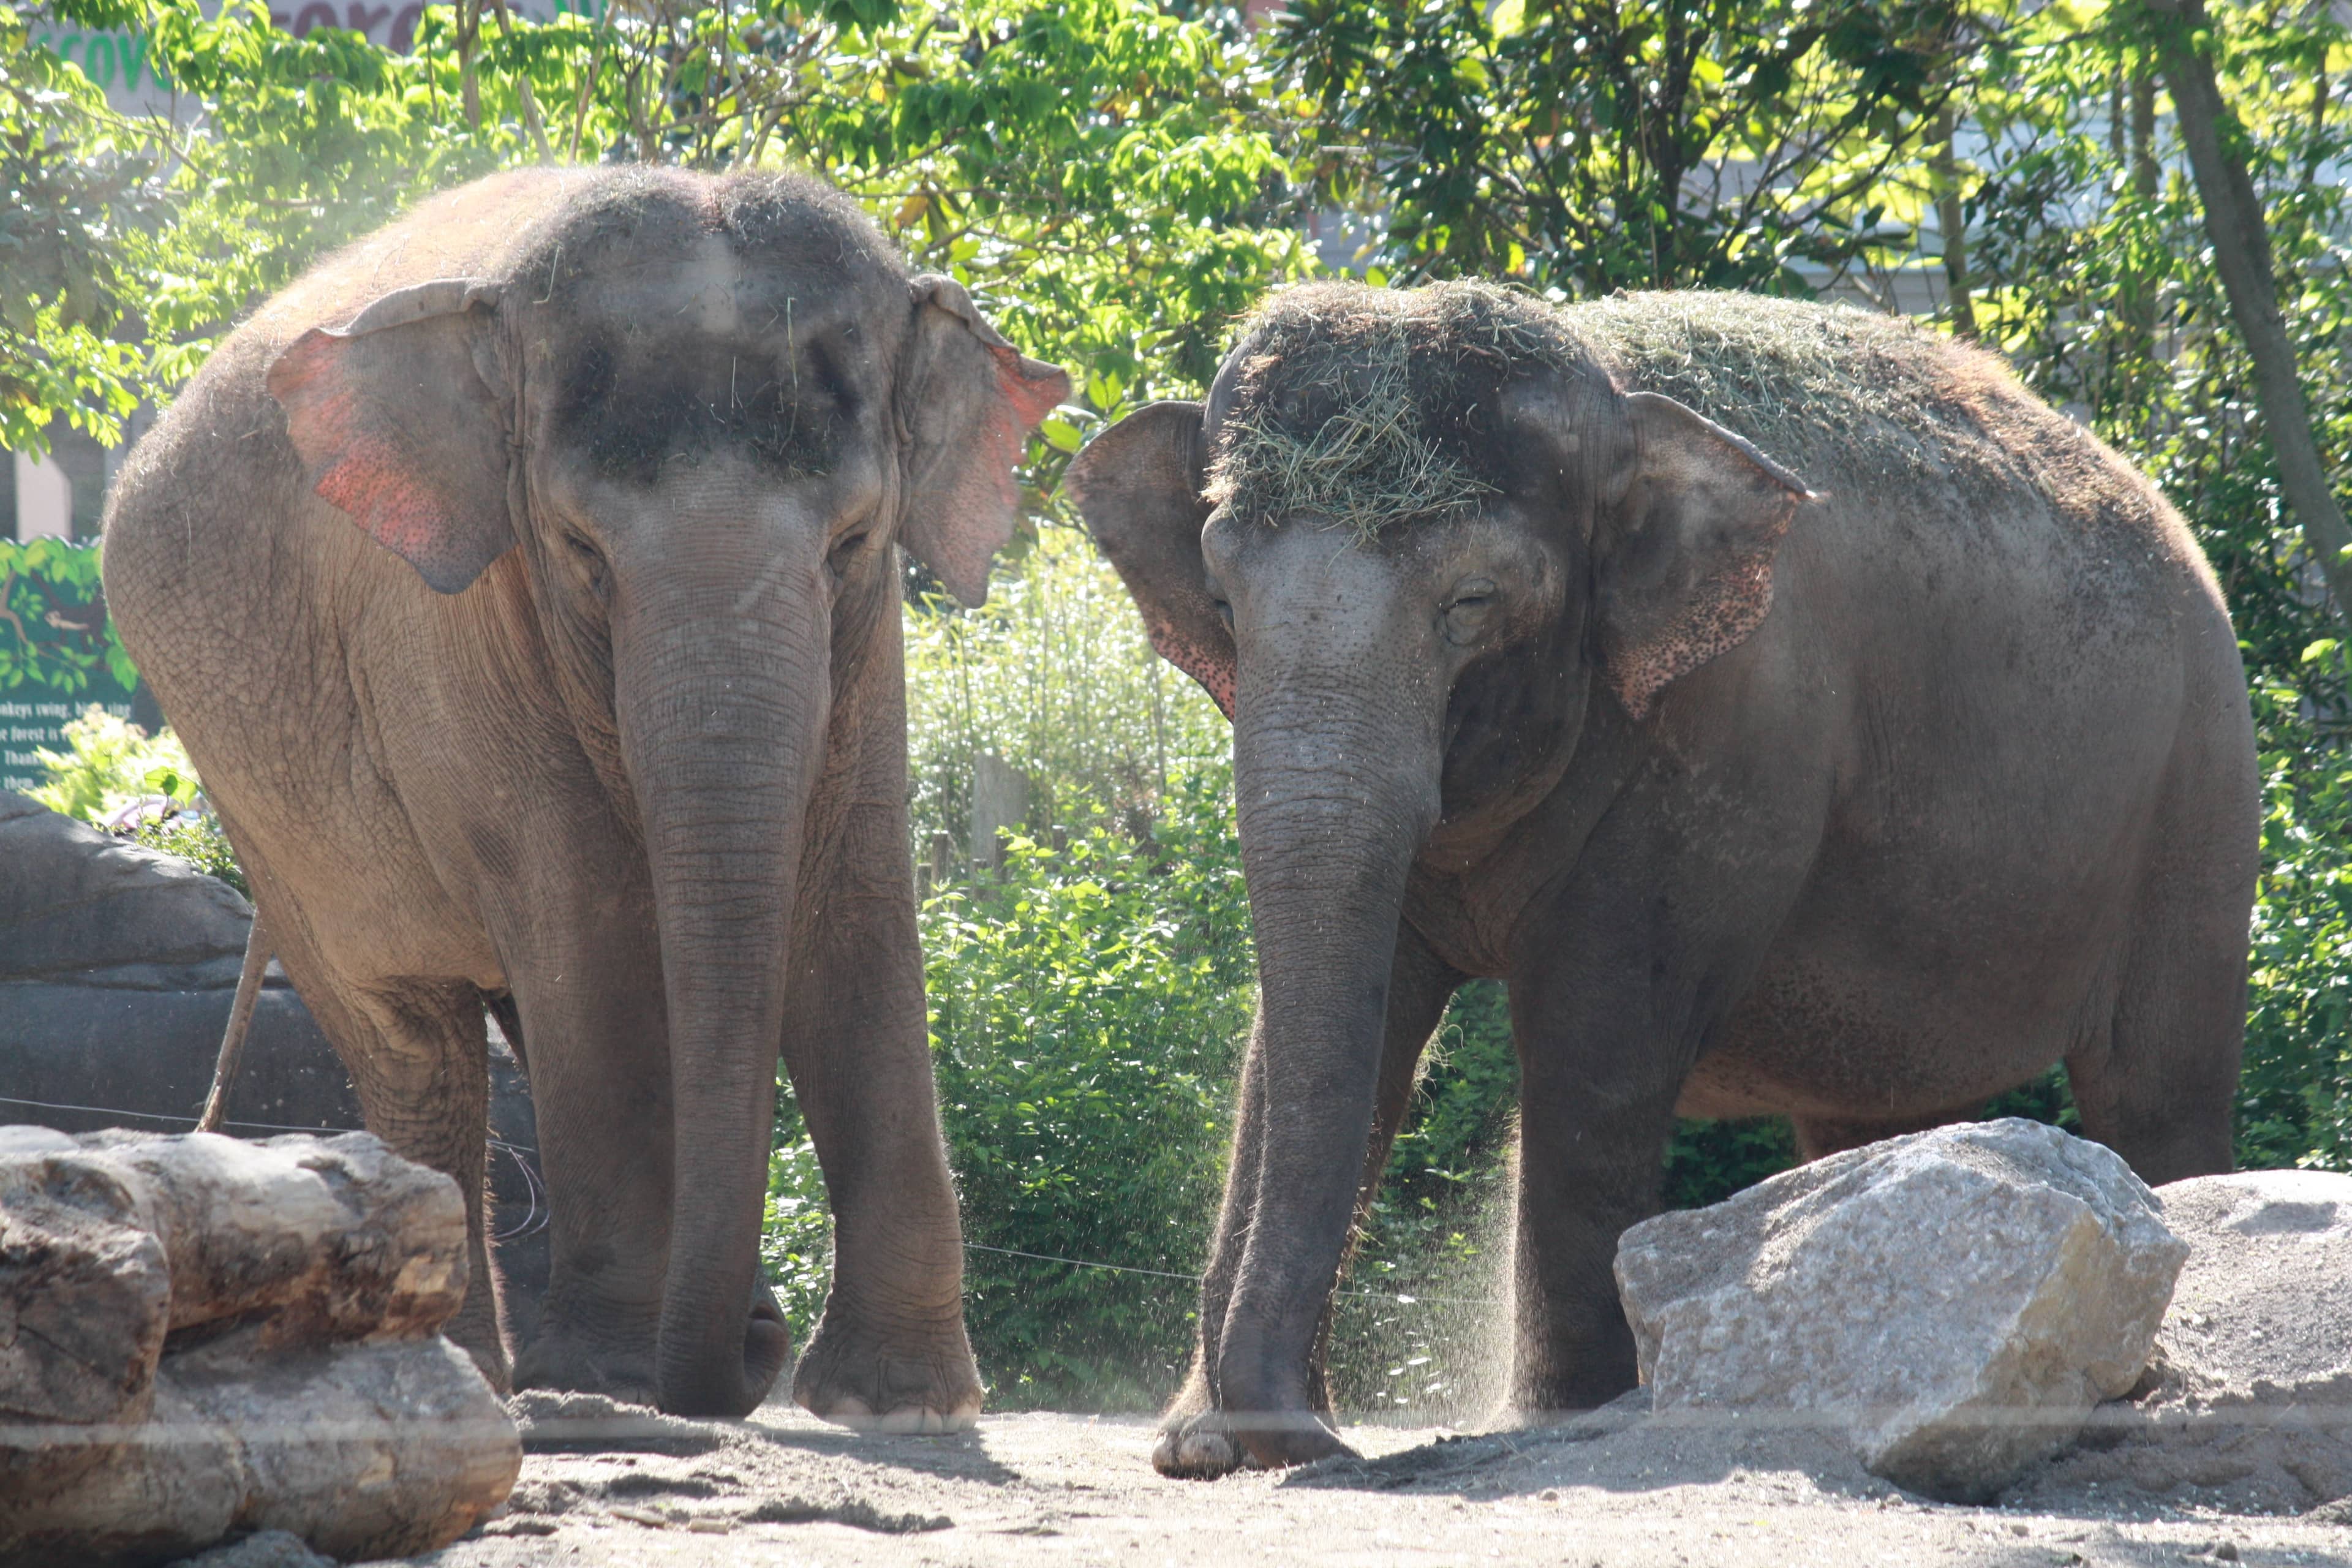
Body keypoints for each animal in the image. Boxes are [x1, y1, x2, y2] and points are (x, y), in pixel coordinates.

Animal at [102, 166, 1069, 1421]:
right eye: (579, 549)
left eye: (854, 539)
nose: (745, 1364)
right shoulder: (451, 632)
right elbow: (586, 924)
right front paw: (609, 1376)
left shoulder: (868, 646)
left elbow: (853, 898)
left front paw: (893, 1402)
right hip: (253, 798)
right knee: (415, 1041)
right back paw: (457, 1369)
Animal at [1067, 282, 2258, 1475]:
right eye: (1223, 605)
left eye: (1472, 602)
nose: (1318, 1437)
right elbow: (1321, 1036)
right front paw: (1197, 1448)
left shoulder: (1723, 748)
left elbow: (1596, 1045)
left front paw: (1559, 1417)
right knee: (1873, 1114)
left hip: (2199, 788)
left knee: (2159, 1091)